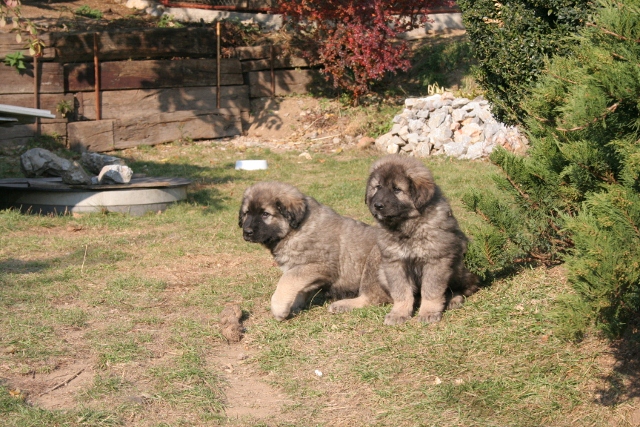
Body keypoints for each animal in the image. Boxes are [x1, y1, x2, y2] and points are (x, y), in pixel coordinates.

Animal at [239, 181, 390, 320]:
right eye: (246, 213)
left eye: (265, 214)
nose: (247, 232)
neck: (294, 231)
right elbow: (299, 288)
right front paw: (294, 306)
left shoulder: (318, 266)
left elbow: (287, 280)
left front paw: (279, 308)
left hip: (375, 260)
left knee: (372, 298)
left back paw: (342, 305)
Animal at [368, 155, 478, 326]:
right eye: (377, 187)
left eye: (397, 189)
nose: (377, 205)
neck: (409, 227)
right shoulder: (394, 263)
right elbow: (401, 291)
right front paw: (399, 313)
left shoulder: (436, 260)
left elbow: (431, 290)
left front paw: (429, 312)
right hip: (382, 273)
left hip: (462, 266)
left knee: (464, 288)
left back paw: (454, 299)